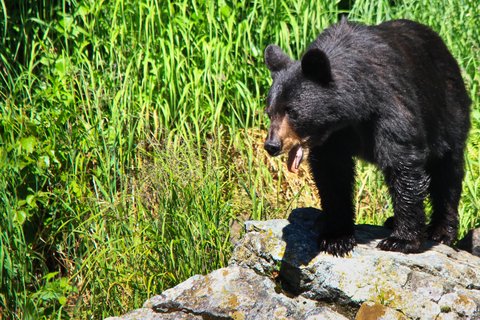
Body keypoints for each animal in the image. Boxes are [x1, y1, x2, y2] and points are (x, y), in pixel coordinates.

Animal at [262, 18, 468, 256]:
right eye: (270, 112)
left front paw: (401, 240)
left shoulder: (390, 104)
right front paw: (336, 238)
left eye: (292, 112)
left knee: (447, 173)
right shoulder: (333, 137)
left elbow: (403, 163)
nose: (272, 145)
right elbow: (333, 175)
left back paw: (441, 231)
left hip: (447, 112)